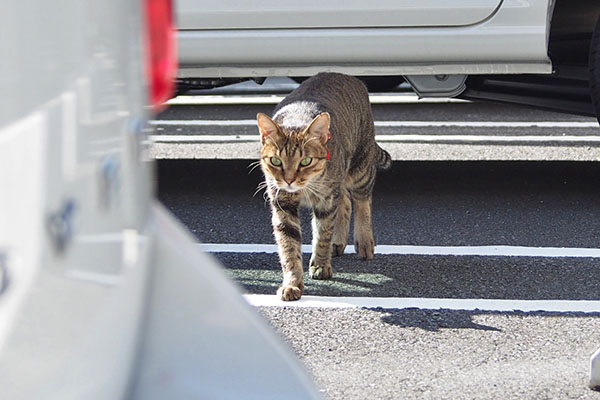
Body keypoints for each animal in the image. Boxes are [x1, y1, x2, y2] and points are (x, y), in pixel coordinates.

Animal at [255, 73, 392, 302]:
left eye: (305, 161)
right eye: (276, 161)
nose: (289, 180)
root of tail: (345, 75)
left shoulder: (326, 200)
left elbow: (322, 234)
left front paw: (320, 265)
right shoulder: (282, 203)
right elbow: (289, 247)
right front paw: (292, 283)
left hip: (360, 167)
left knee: (362, 200)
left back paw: (364, 241)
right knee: (345, 202)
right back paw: (338, 243)